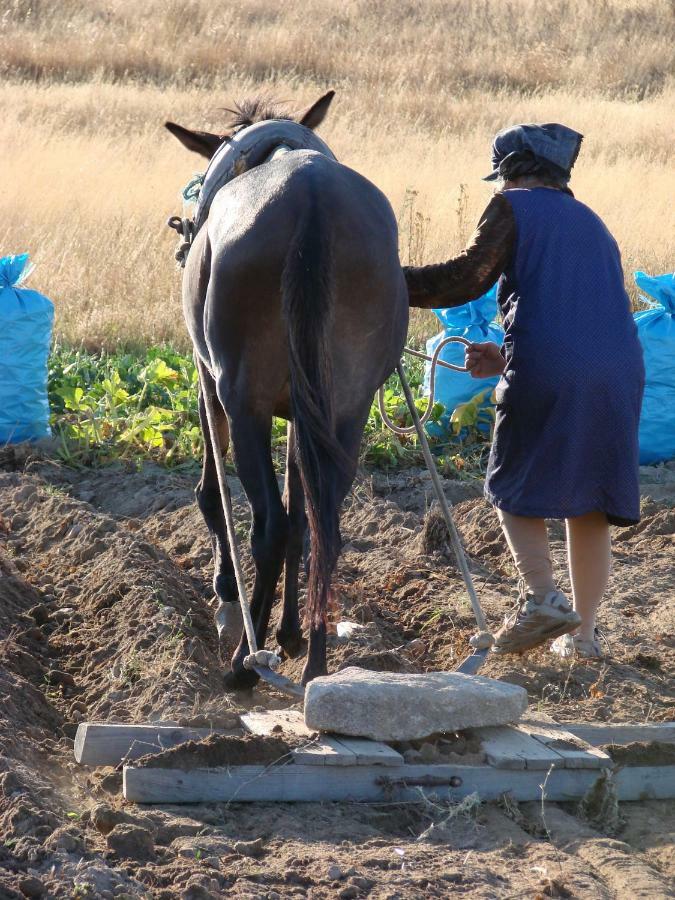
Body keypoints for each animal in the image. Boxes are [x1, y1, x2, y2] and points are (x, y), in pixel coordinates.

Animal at [166, 91, 410, 684]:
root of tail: (312, 200)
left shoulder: (210, 383)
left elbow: (215, 493)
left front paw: (227, 591)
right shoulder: (308, 414)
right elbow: (303, 514)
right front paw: (291, 633)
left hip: (244, 398)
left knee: (270, 526)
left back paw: (244, 665)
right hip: (345, 410)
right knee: (323, 526)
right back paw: (314, 666)